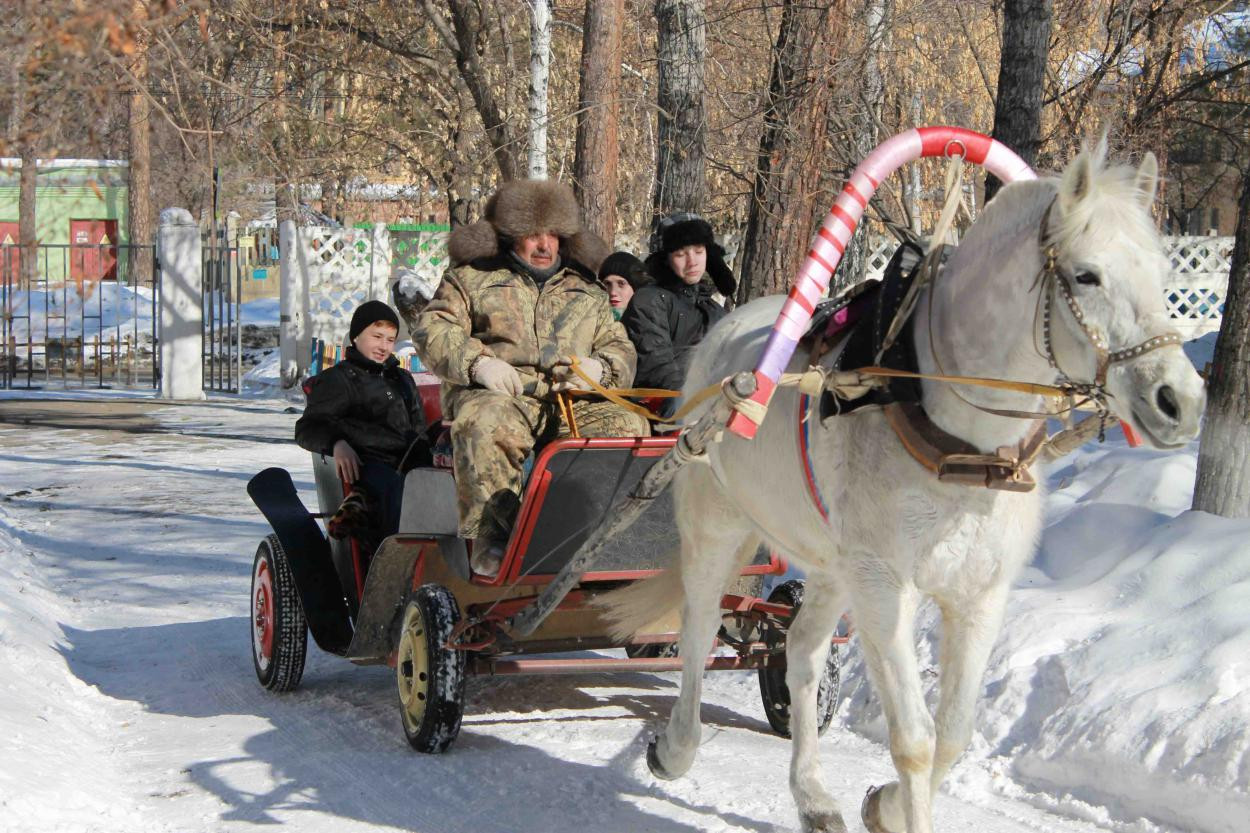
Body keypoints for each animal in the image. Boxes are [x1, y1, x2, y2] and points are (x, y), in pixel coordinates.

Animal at [600, 145, 1205, 825]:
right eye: (1086, 276)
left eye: (1161, 271)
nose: (1179, 402)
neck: (957, 445)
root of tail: (720, 344)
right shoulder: (887, 588)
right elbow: (914, 740)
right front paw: (897, 805)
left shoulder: (978, 595)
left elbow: (955, 733)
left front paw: (882, 807)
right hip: (718, 529)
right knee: (699, 626)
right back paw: (676, 748)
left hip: (833, 565)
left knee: (802, 653)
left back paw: (812, 794)